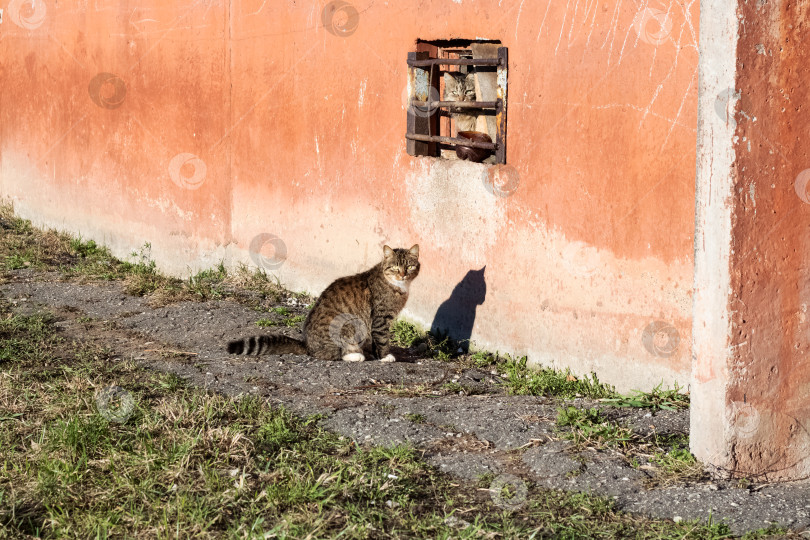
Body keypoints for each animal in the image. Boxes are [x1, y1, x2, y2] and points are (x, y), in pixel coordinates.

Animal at [226, 245, 420, 362]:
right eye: (395, 267)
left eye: (409, 267)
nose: (403, 274)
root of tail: (307, 345)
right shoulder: (380, 318)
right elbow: (382, 339)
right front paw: (384, 357)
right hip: (347, 327)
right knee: (333, 354)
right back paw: (356, 356)